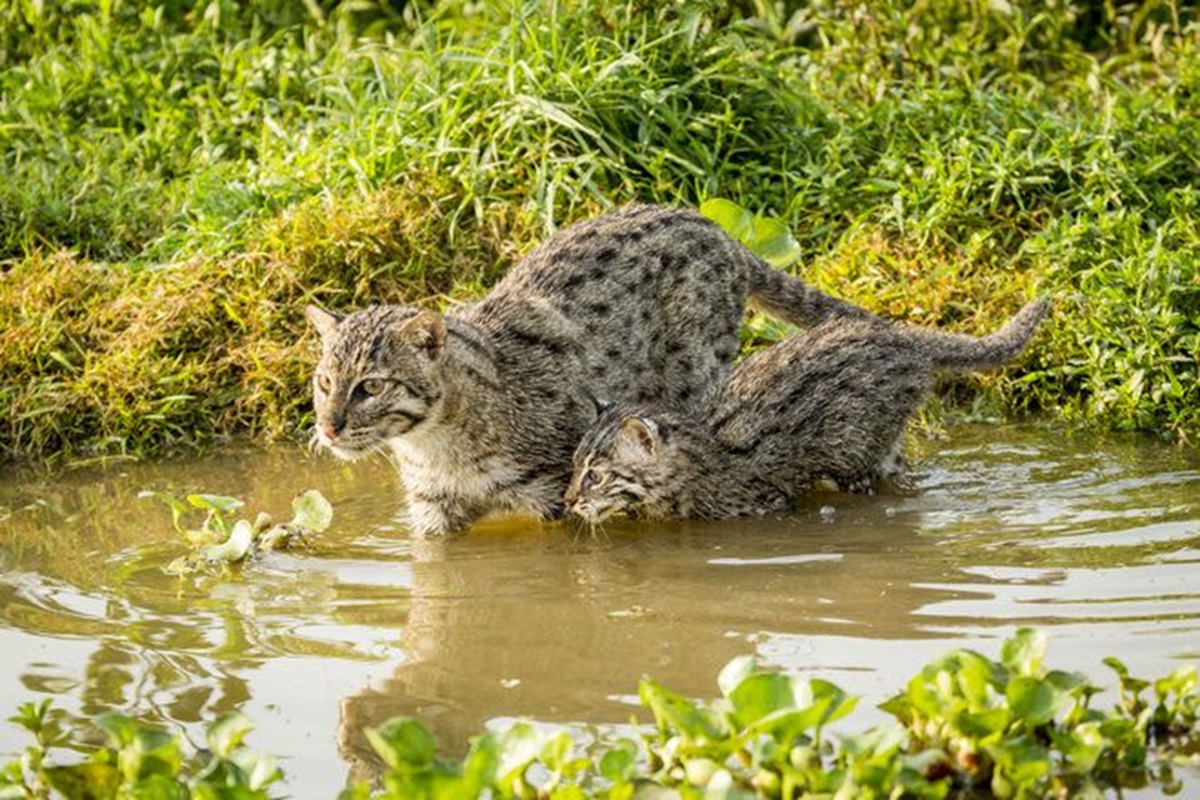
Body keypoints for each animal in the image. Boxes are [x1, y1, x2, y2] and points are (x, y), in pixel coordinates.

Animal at [304, 203, 878, 534]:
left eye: (371, 386)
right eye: (325, 382)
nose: (327, 428)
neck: (438, 446)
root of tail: (719, 230)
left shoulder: (558, 492)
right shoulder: (432, 513)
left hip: (696, 374)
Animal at [566, 297, 1046, 522]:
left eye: (597, 475)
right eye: (573, 466)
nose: (569, 499)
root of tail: (902, 339)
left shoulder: (765, 504)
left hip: (858, 449)